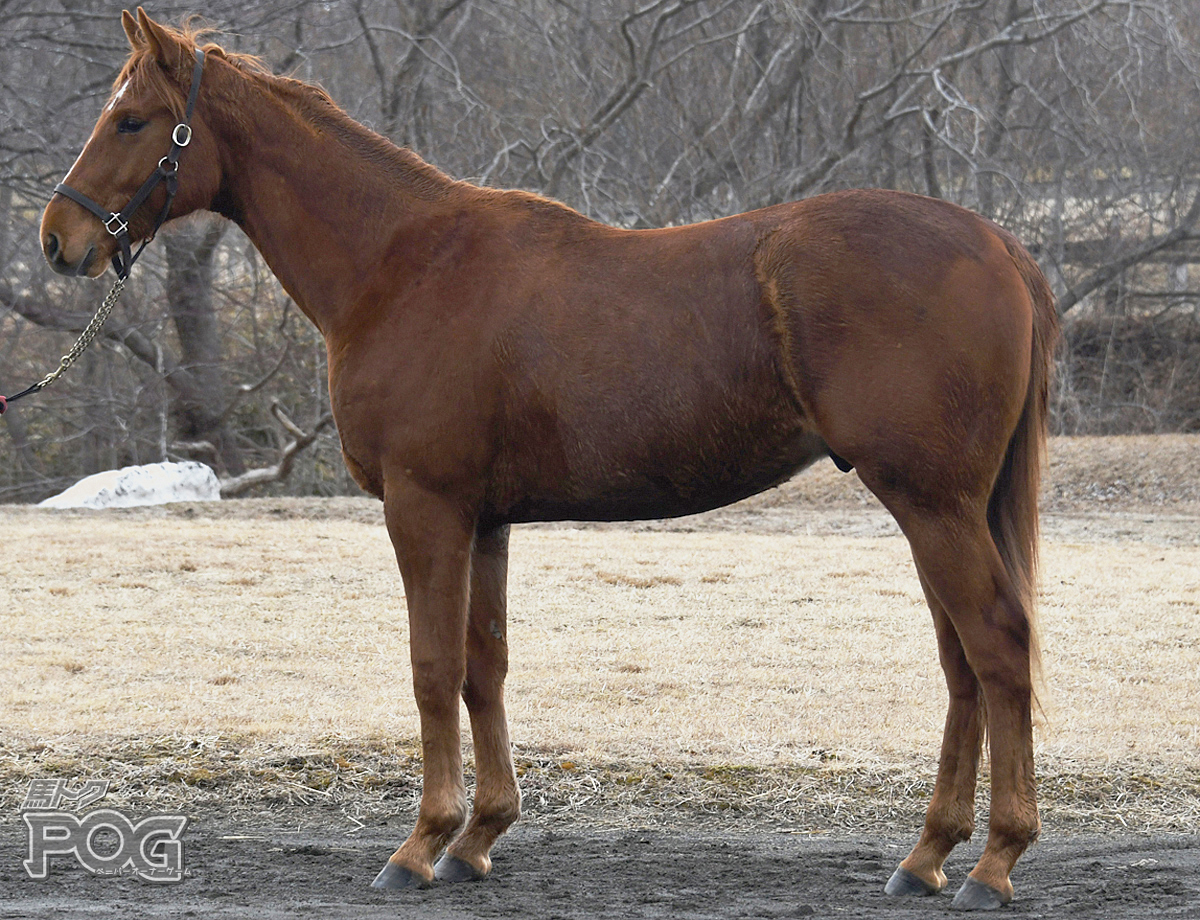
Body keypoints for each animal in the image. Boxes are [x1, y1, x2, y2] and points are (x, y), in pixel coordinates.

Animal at [37, 8, 1056, 911]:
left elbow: (431, 666)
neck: (401, 265)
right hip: (937, 509)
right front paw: (478, 838)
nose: (58, 238)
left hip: (932, 504)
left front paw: (419, 845)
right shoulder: (484, 519)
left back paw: (993, 862)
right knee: (963, 663)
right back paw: (927, 857)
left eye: (131, 120)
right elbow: (483, 666)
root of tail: (998, 244)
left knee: (997, 646)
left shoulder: (424, 507)